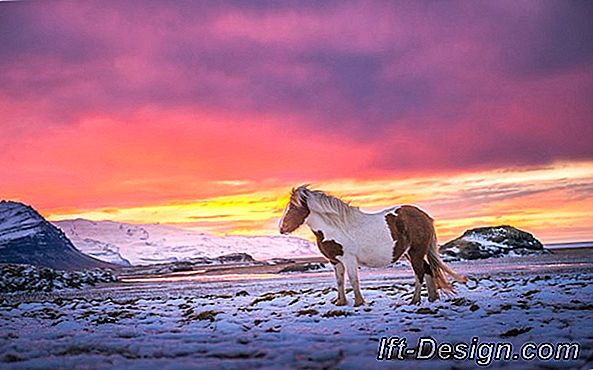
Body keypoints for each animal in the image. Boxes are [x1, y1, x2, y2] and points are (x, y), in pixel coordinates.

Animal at [280, 185, 464, 306]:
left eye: (293, 208)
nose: (281, 228)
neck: (335, 226)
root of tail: (424, 216)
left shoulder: (349, 259)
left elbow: (353, 280)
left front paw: (358, 303)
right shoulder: (335, 261)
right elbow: (339, 281)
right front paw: (341, 302)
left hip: (416, 253)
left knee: (420, 273)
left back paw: (415, 300)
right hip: (412, 253)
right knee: (427, 270)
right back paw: (432, 299)